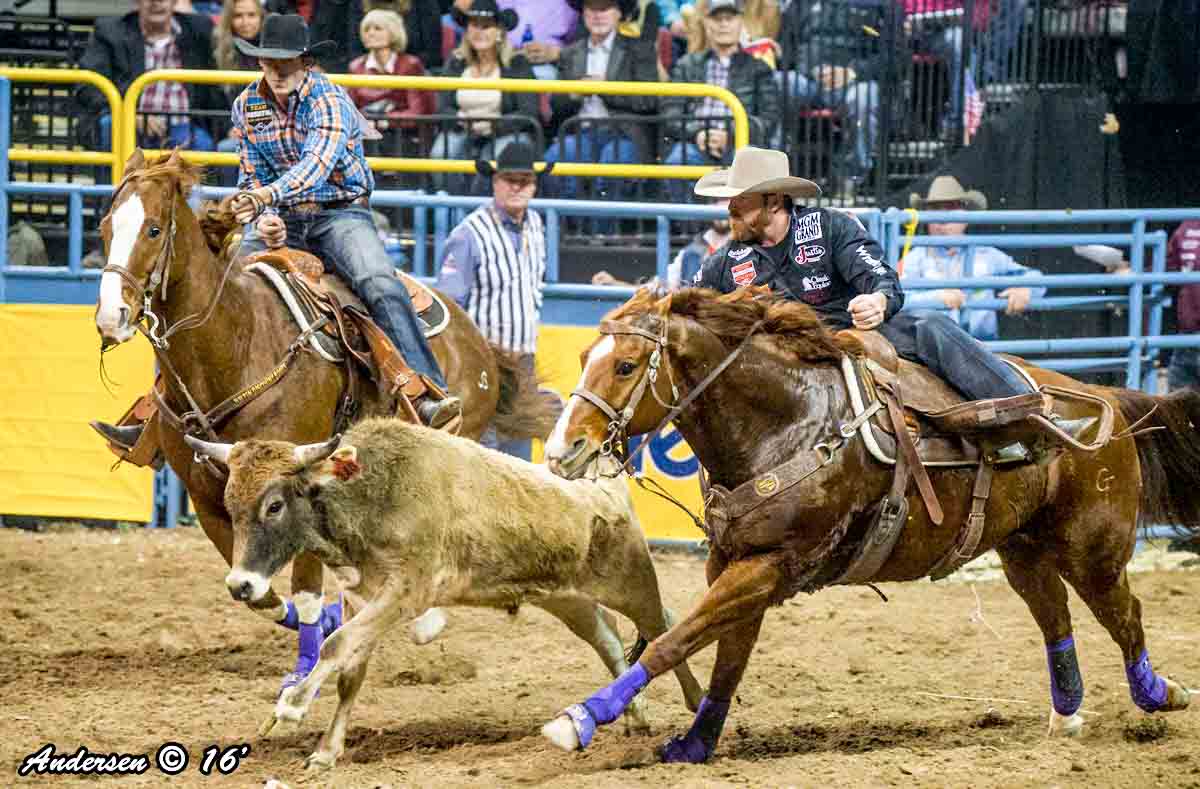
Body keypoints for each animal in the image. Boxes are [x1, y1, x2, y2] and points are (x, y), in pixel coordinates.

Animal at [96, 147, 559, 681]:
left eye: (153, 229)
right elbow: (258, 592)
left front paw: (307, 666)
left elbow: (305, 592)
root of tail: (477, 338)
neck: (237, 344)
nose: (110, 317)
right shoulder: (210, 502)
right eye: (105, 226)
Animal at [544, 288, 1200, 762]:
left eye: (626, 365)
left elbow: (675, 638)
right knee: (1055, 616)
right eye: (582, 359)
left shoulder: (773, 565)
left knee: (1125, 614)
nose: (561, 450)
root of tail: (1104, 398)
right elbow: (725, 654)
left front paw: (578, 720)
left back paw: (1158, 693)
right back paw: (1067, 713)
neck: (789, 421)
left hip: (1094, 548)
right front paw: (695, 745)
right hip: (1025, 550)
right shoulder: (736, 563)